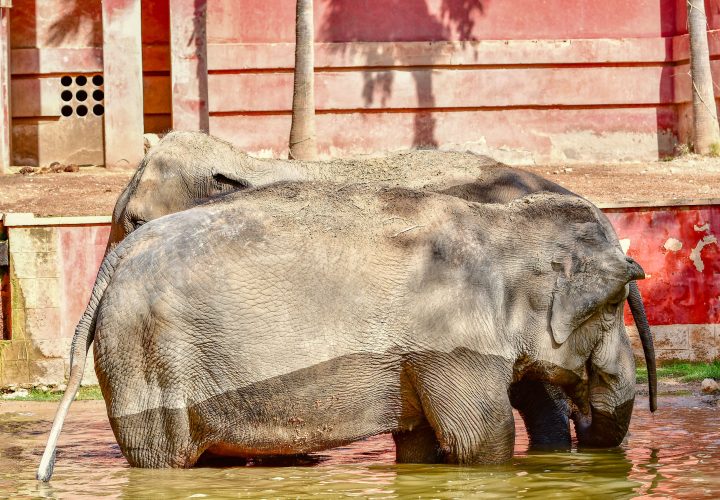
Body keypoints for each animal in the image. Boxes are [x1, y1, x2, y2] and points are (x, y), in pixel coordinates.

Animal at [38, 184, 646, 479]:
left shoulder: (416, 354)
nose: (584, 413)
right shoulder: (452, 340)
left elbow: (420, 444)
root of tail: (114, 258)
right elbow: (481, 438)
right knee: (161, 457)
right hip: (144, 356)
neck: (499, 221)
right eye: (613, 305)